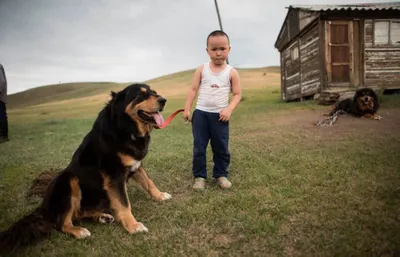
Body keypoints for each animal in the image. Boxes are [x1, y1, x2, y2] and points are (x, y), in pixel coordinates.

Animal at [0, 82, 170, 252]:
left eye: (153, 92)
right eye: (140, 95)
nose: (163, 100)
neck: (125, 128)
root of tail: (43, 207)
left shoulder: (136, 164)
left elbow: (149, 182)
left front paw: (160, 195)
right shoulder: (114, 175)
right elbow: (124, 203)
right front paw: (134, 226)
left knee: (77, 213)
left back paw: (102, 217)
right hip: (68, 179)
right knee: (61, 223)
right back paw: (79, 231)